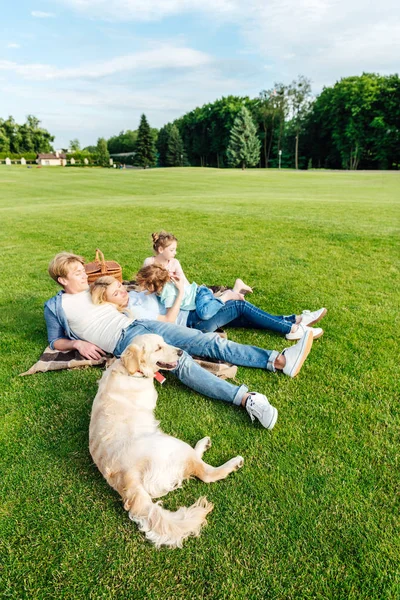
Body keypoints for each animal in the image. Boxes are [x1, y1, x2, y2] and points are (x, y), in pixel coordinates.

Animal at [88, 332, 244, 548]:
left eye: (164, 342)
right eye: (158, 348)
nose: (180, 352)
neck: (130, 372)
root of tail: (129, 478)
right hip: (174, 445)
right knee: (205, 472)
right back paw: (229, 460)